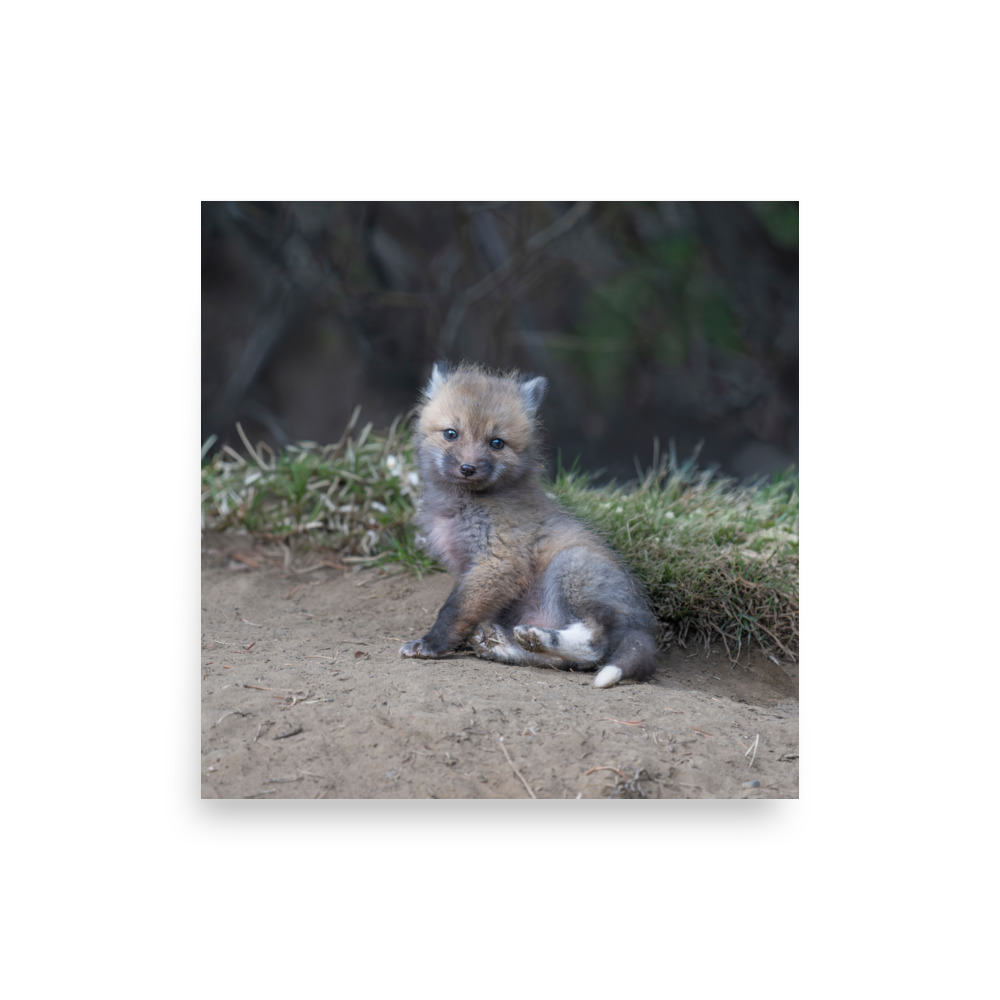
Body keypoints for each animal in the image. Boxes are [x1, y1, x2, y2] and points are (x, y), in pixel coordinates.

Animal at [398, 361, 658, 688]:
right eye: (451, 434)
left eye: (496, 443)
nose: (468, 468)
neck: (464, 506)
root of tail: (644, 624)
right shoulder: (472, 568)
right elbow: (467, 609)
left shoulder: (500, 561)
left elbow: (454, 609)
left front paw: (431, 644)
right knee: (565, 662)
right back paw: (506, 645)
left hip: (570, 567)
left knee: (594, 645)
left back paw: (536, 638)